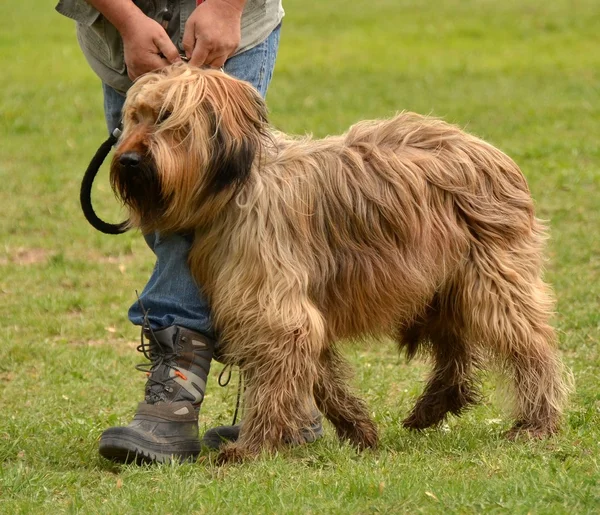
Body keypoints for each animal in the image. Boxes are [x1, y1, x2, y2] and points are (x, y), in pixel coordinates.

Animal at [111, 63, 568, 464]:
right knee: (456, 346)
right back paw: (434, 406)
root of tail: (492, 153)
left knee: (529, 344)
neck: (239, 185)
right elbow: (319, 373)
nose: (128, 161)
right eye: (133, 117)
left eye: (167, 117)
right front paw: (355, 427)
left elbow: (280, 372)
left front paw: (253, 446)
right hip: (438, 284)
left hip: (490, 276)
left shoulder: (273, 304)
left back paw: (537, 420)